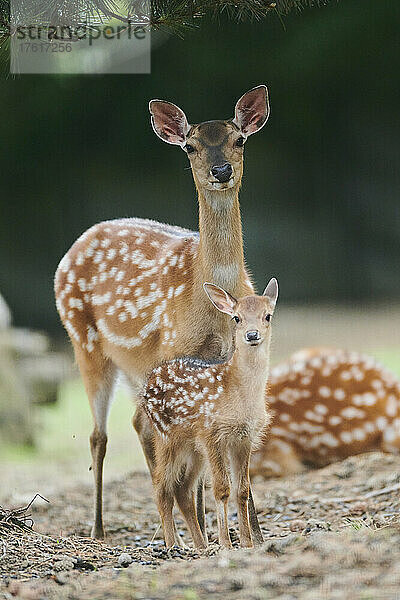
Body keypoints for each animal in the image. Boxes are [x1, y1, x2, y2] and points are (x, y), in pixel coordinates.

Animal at [143, 280, 278, 548]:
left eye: (267, 315)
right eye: (236, 318)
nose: (252, 335)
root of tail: (148, 382)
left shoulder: (243, 438)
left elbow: (242, 490)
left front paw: (247, 543)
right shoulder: (211, 433)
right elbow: (221, 489)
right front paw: (226, 544)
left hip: (193, 448)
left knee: (182, 489)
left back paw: (201, 546)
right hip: (166, 437)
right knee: (161, 486)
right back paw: (173, 545)